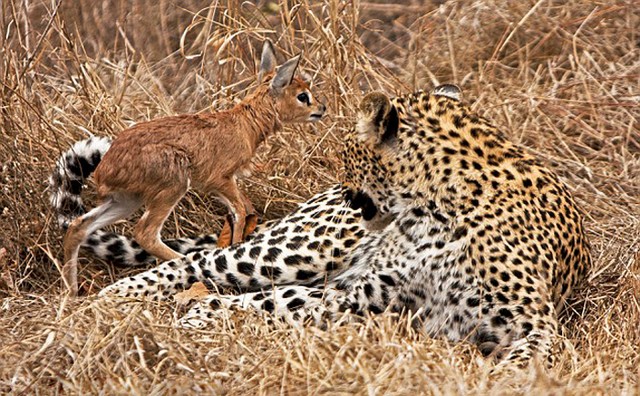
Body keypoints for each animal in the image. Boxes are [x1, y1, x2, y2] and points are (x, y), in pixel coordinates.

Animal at [48, 85, 592, 370]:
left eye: (349, 152)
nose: (347, 191)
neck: (434, 213)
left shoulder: (533, 325)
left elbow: (528, 358)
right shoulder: (365, 292)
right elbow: (268, 302)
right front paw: (201, 316)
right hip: (303, 248)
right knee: (198, 260)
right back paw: (111, 302)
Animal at [61, 40, 324, 296]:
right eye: (303, 96)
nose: (321, 109)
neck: (245, 124)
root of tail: (105, 167)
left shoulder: (220, 186)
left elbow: (245, 210)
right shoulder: (222, 180)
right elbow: (240, 211)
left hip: (126, 201)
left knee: (79, 226)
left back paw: (72, 292)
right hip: (172, 188)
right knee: (145, 233)